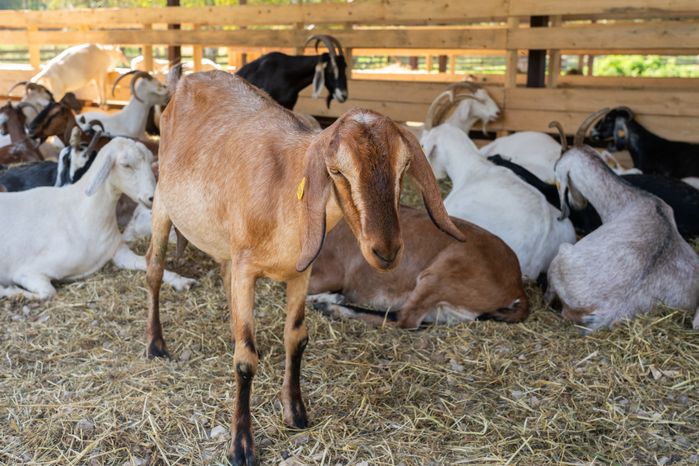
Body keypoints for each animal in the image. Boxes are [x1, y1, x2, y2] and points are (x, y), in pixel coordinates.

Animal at [0, 137, 194, 300]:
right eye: (125, 165)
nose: (153, 198)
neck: (83, 213)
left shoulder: (118, 252)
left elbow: (145, 263)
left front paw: (181, 280)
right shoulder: (28, 271)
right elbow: (48, 292)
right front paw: (9, 292)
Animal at [146, 70, 462, 465]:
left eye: (403, 166)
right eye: (336, 171)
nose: (386, 250)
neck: (283, 193)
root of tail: (184, 81)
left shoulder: (300, 273)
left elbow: (296, 338)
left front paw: (295, 413)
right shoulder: (247, 268)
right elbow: (245, 360)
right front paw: (241, 445)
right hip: (162, 206)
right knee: (154, 271)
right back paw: (156, 345)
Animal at [308, 206, 528, 328]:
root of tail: (517, 285)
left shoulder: (330, 274)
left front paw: (329, 298)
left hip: (437, 276)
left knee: (404, 320)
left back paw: (331, 308)